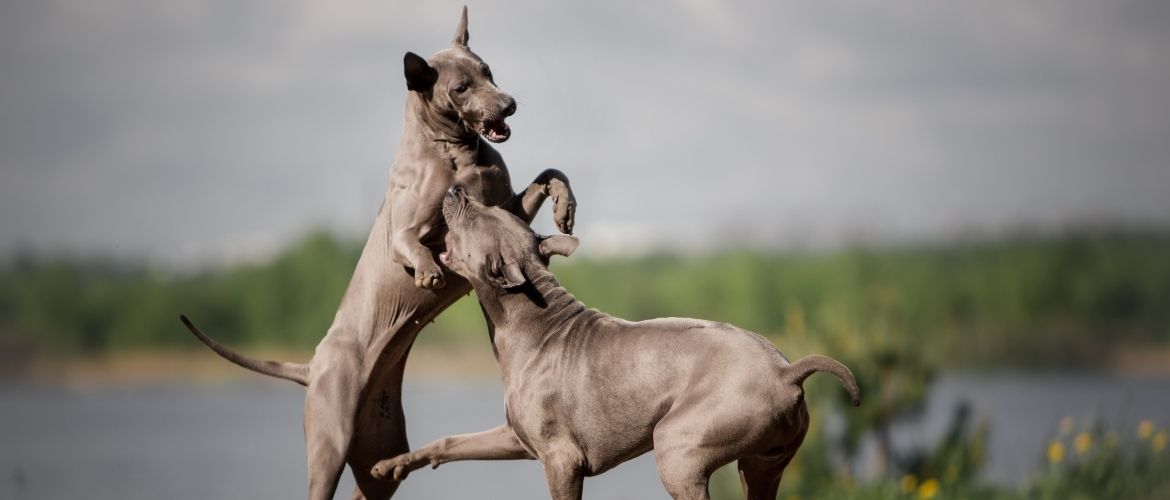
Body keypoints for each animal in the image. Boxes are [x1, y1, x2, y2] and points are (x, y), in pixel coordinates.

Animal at [177, 8, 575, 500]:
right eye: (461, 87)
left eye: (488, 71)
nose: (508, 104)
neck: (457, 152)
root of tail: (311, 367)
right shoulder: (404, 230)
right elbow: (412, 244)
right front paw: (427, 273)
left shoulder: (509, 208)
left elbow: (550, 173)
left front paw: (564, 207)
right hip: (329, 443)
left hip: (378, 457)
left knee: (376, 477)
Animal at [369, 187, 865, 500]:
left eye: (477, 217)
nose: (455, 190)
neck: (531, 320)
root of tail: (786, 369)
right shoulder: (515, 438)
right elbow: (450, 441)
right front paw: (390, 466)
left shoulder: (562, 461)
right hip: (763, 465)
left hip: (679, 448)